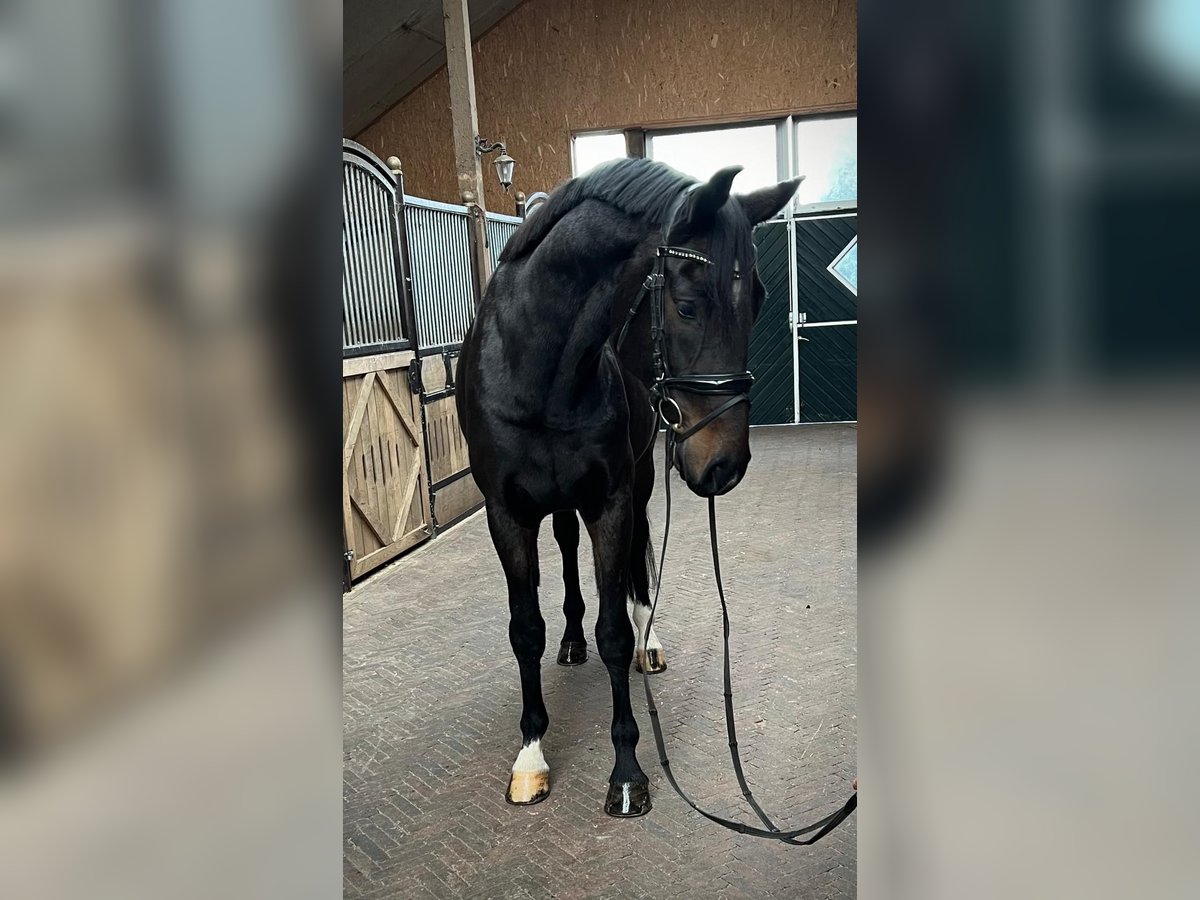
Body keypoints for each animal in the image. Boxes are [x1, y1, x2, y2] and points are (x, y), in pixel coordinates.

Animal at [456, 158, 796, 820]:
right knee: (566, 551)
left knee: (638, 565)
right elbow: (524, 630)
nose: (725, 465)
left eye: (759, 301)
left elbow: (614, 631)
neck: (539, 375)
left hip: (637, 485)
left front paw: (627, 771)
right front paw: (530, 757)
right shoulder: (506, 514)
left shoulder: (611, 501)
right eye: (686, 306)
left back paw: (650, 641)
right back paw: (570, 640)